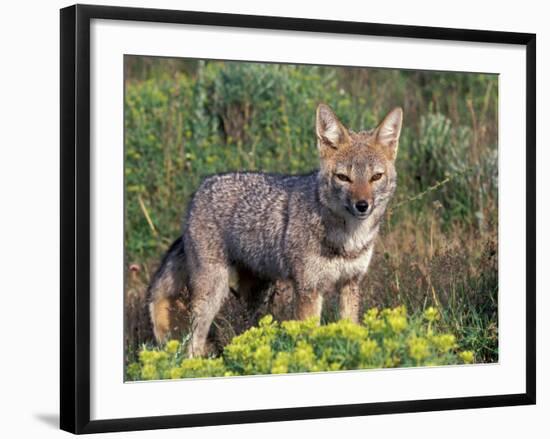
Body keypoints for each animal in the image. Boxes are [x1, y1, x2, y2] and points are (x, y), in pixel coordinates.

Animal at [149, 104, 404, 358]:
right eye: (344, 177)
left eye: (375, 177)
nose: (362, 205)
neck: (348, 240)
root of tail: (200, 190)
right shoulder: (308, 290)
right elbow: (310, 336)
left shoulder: (350, 284)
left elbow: (351, 328)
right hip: (213, 293)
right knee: (193, 342)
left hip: (257, 294)